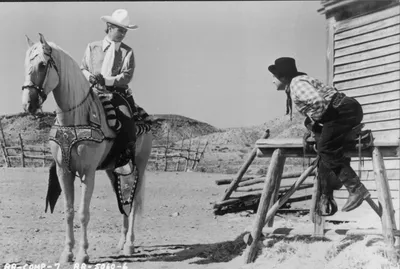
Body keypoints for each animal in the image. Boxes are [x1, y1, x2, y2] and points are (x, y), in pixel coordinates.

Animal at [21, 33, 153, 262]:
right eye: (25, 64)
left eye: (42, 64)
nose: (28, 104)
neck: (75, 118)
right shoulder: (63, 171)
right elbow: (69, 211)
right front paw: (67, 253)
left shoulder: (87, 172)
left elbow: (83, 213)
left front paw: (82, 254)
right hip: (113, 169)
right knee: (122, 201)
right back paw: (121, 242)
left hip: (141, 165)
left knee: (135, 200)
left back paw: (129, 244)